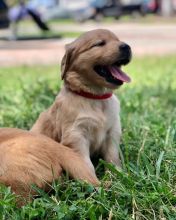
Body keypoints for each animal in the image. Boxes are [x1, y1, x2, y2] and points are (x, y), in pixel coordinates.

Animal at [31, 29, 131, 180]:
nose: (126, 46)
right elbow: (84, 164)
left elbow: (112, 157)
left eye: (118, 40)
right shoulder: (76, 135)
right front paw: (90, 180)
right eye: (99, 43)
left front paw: (118, 175)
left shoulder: (112, 132)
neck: (96, 97)